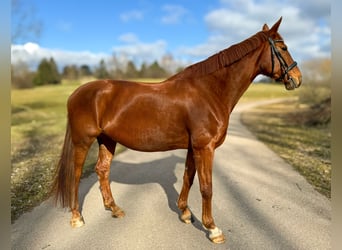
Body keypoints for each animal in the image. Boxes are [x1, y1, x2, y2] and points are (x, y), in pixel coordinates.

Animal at [51, 18, 302, 244]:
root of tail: (76, 93)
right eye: (283, 48)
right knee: (76, 174)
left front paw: (185, 213)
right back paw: (77, 217)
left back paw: (114, 209)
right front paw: (213, 228)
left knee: (102, 170)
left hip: (107, 139)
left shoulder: (194, 147)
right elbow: (207, 187)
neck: (209, 91)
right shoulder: (205, 147)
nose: (297, 79)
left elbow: (188, 178)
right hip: (83, 141)